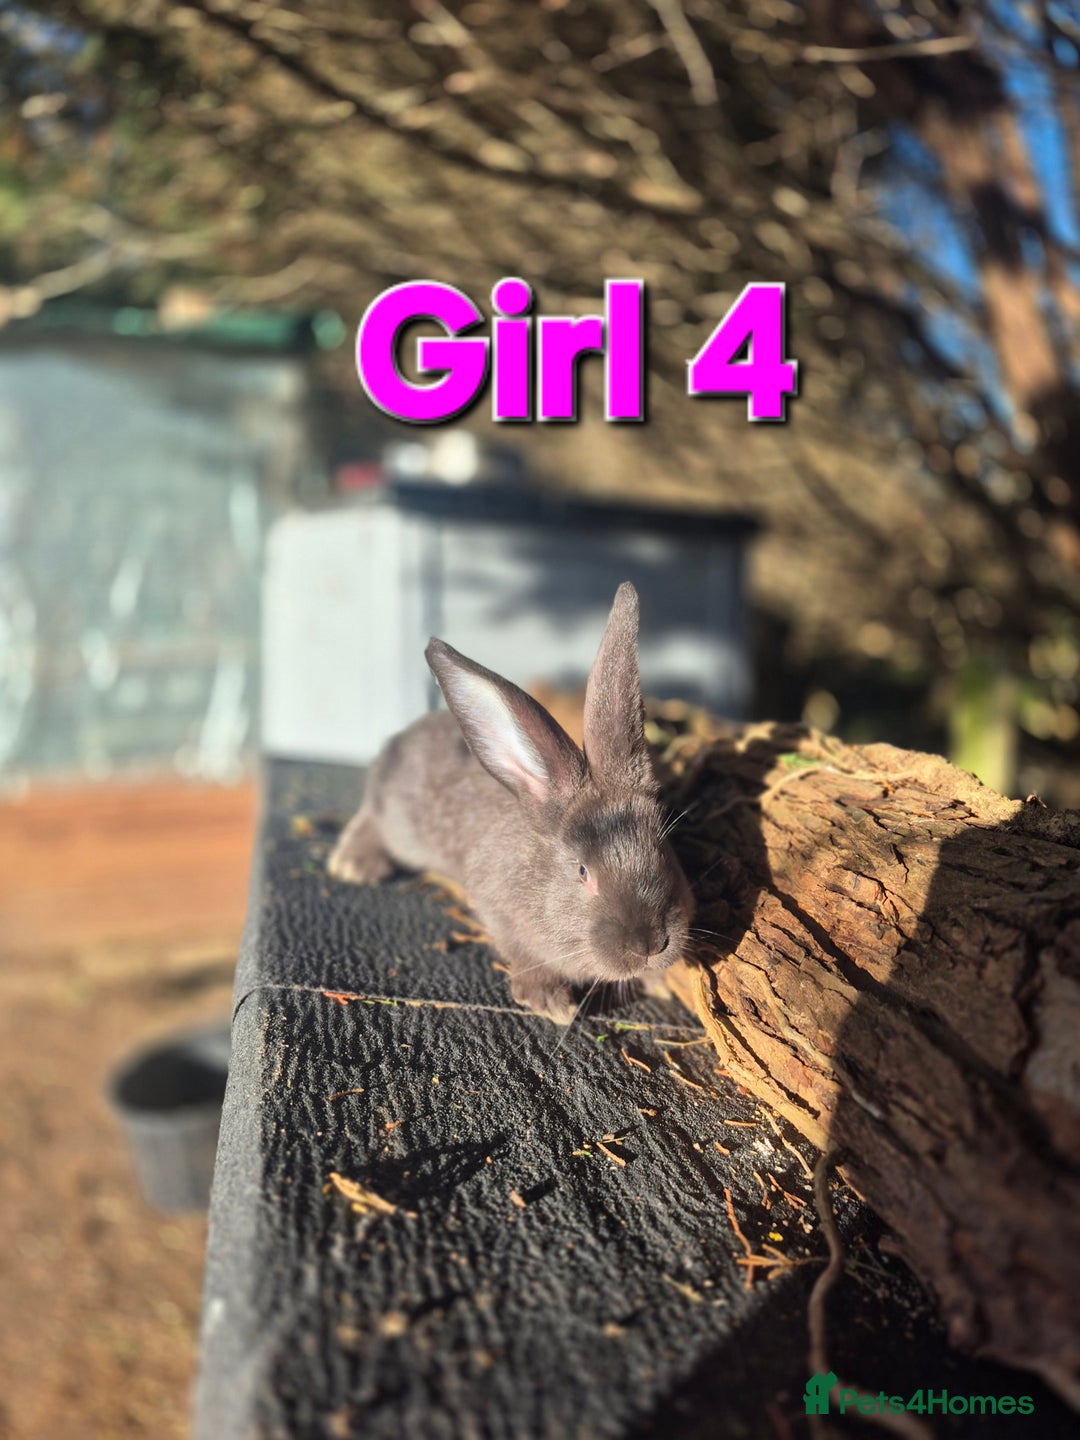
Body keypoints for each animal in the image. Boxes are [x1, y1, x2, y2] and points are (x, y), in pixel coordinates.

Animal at [327, 581, 695, 1023]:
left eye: (663, 850)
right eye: (583, 872)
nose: (651, 945)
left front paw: (660, 983)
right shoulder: (494, 904)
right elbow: (520, 951)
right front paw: (552, 1002)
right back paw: (353, 864)